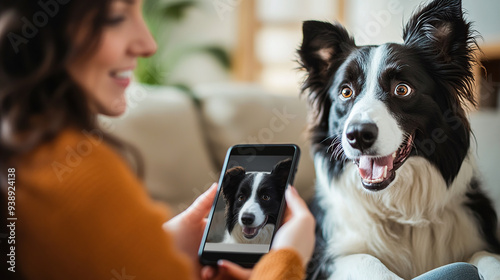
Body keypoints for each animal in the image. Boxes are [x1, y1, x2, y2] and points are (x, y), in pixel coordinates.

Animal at [298, 0, 498, 280]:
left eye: (402, 89)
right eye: (345, 92)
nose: (358, 135)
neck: (401, 213)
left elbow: (487, 257)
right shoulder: (326, 259)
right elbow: (368, 261)